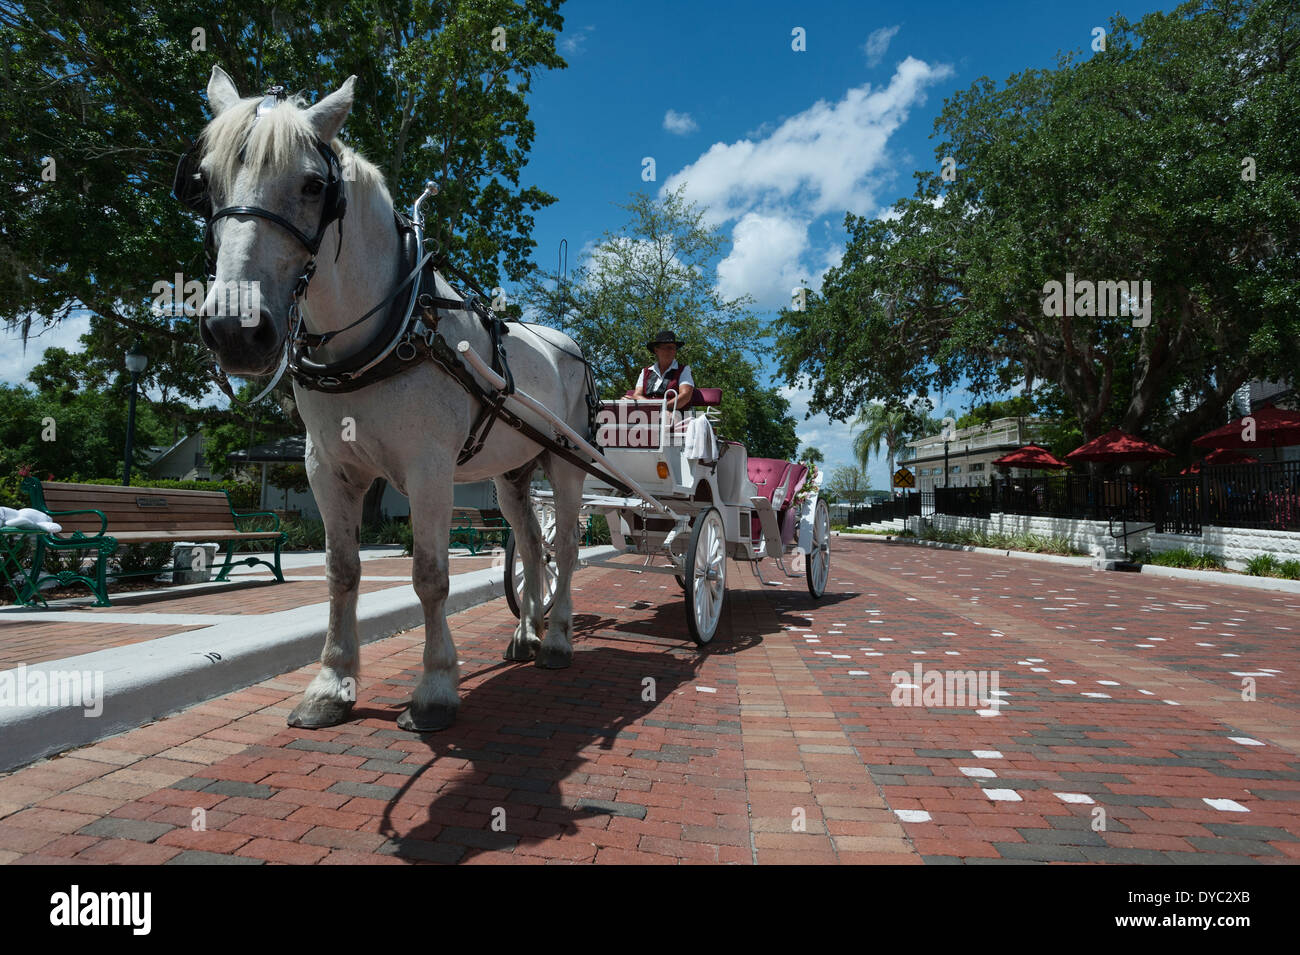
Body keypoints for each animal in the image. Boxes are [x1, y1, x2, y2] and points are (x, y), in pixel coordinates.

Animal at [189, 65, 585, 732]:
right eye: (207, 182)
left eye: (313, 185)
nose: (236, 331)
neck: (388, 329)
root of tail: (570, 347)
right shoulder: (327, 468)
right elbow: (341, 571)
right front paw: (331, 684)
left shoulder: (429, 469)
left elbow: (430, 575)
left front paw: (435, 688)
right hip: (511, 473)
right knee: (533, 546)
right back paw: (526, 634)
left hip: (565, 463)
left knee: (567, 547)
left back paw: (556, 639)